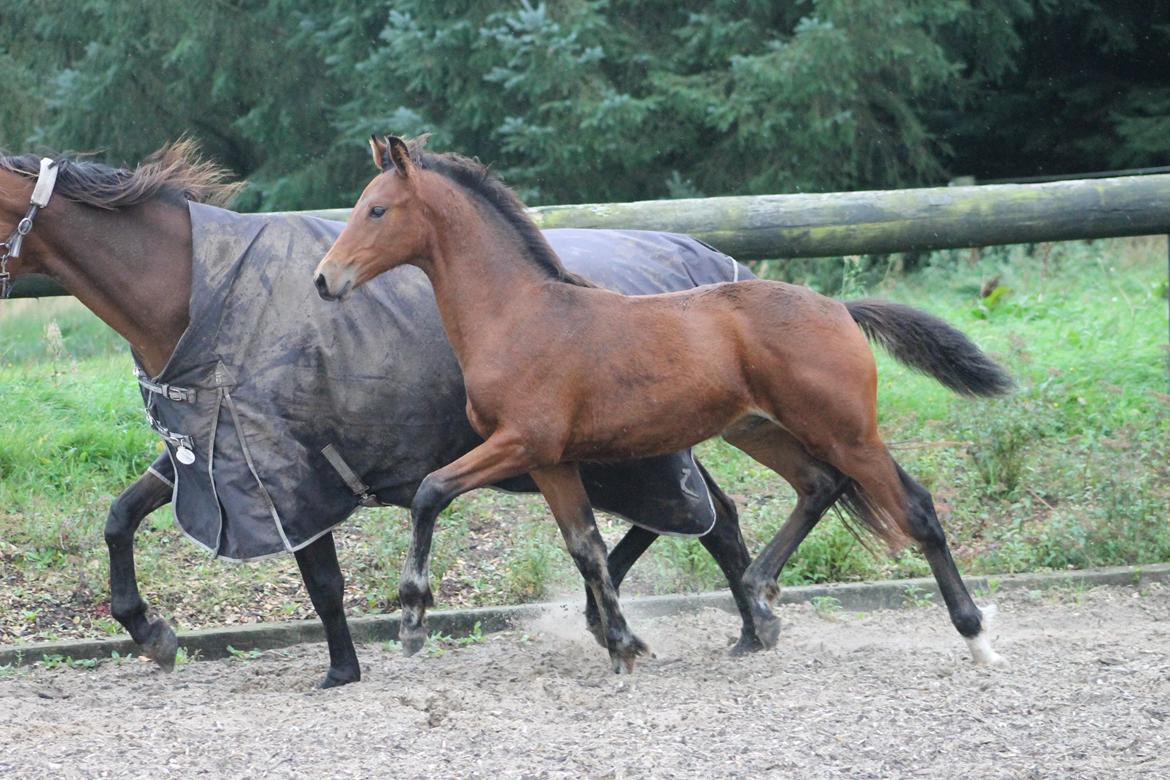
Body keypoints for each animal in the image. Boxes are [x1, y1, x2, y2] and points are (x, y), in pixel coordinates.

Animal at [0, 143, 762, 687]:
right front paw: (151, 633)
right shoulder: (208, 454)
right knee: (704, 517)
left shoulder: (285, 470)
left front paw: (345, 666)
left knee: (700, 518)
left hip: (639, 450)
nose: (327, 280)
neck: (198, 291)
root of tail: (715, 261)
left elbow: (323, 579)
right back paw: (737, 626)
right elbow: (119, 517)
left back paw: (725, 624)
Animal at [313, 134, 1015, 673]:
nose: (325, 279)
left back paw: (977, 637)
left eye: (377, 210)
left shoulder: (522, 442)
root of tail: (839, 308)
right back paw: (759, 596)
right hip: (759, 430)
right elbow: (588, 548)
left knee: (915, 509)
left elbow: (431, 491)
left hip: (846, 431)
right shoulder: (552, 461)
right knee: (819, 486)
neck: (519, 315)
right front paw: (623, 644)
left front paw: (411, 617)